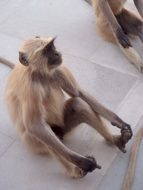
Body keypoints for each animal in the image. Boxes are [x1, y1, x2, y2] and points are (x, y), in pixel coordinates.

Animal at [2, 36, 132, 178]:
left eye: (52, 46)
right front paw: (82, 162)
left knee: (78, 104)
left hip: (64, 126)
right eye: (47, 51)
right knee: (38, 132)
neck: (41, 73)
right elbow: (35, 125)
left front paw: (119, 122)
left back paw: (115, 140)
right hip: (33, 142)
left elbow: (78, 93)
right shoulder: (30, 87)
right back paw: (75, 171)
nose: (57, 53)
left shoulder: (58, 69)